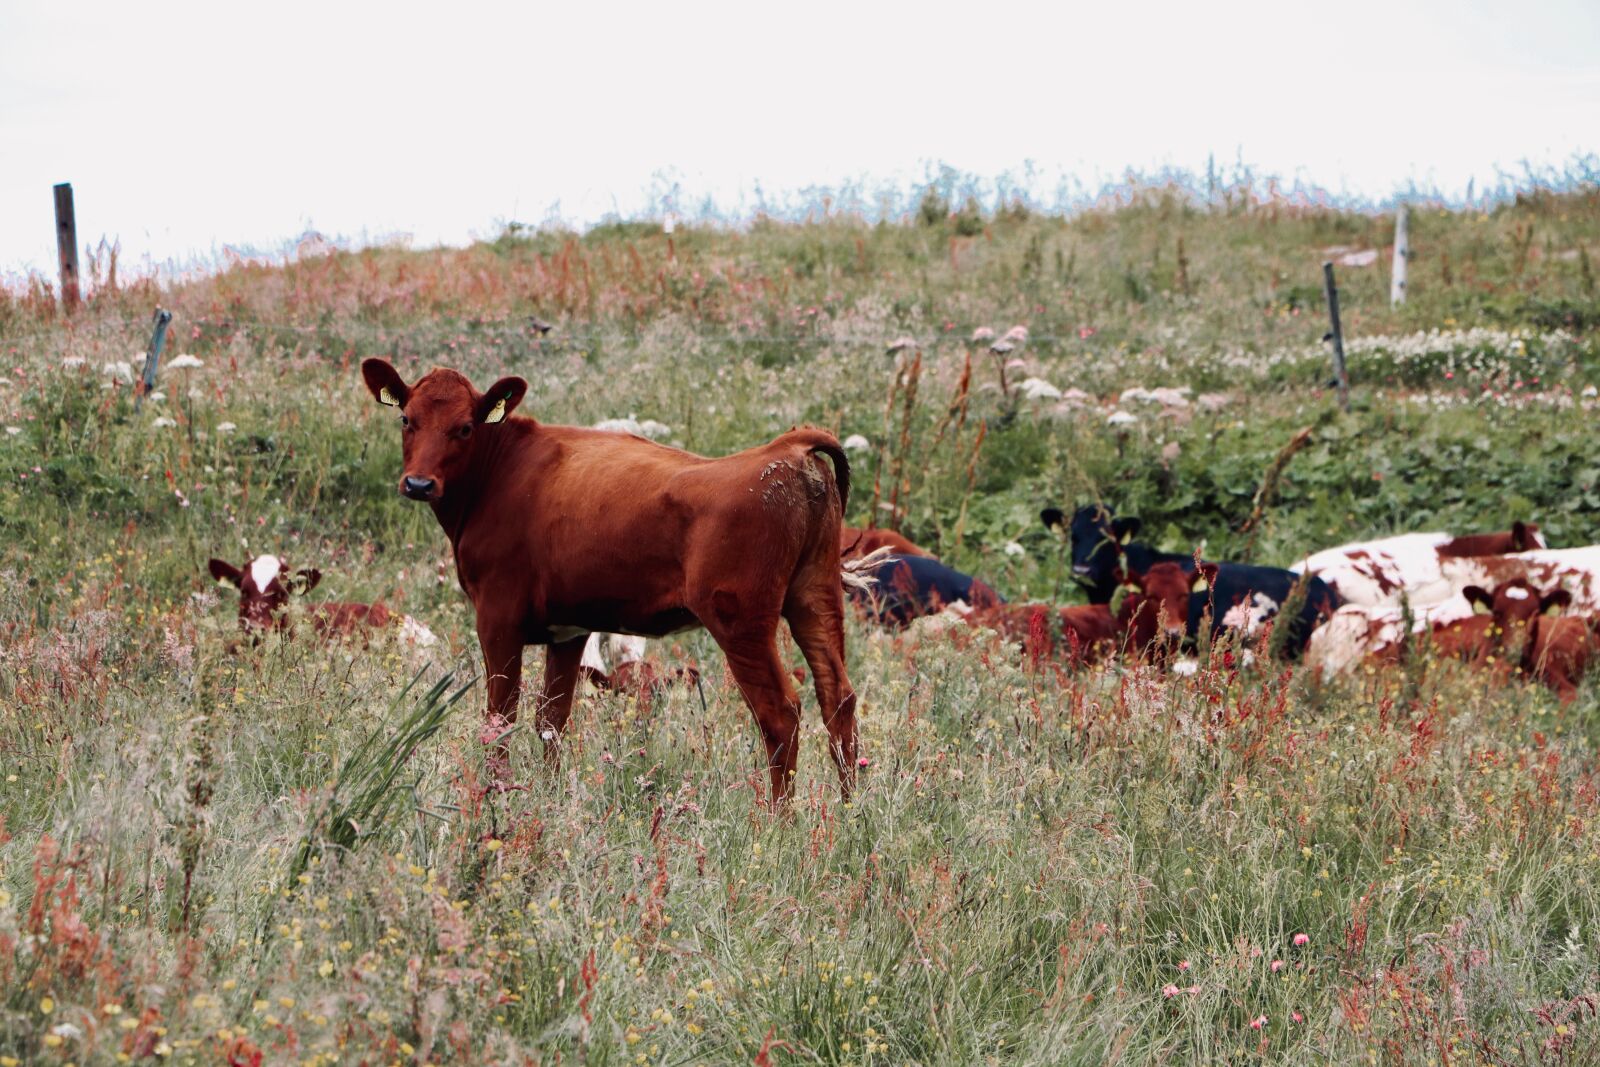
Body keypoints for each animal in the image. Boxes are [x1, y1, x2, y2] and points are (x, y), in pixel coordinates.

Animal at [359, 357, 856, 803]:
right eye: (406, 419)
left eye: (465, 428)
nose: (419, 484)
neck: (502, 474)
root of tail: (784, 452)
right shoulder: (569, 629)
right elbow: (551, 719)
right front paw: (548, 800)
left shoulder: (497, 619)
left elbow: (500, 717)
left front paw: (494, 796)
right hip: (815, 599)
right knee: (839, 699)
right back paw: (850, 810)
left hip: (741, 623)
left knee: (781, 714)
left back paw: (779, 822)